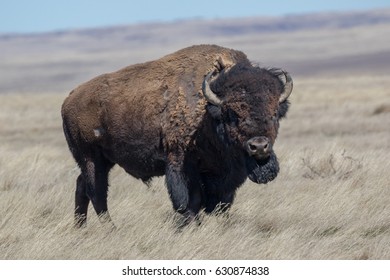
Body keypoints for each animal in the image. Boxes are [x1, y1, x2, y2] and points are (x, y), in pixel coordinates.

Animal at [61, 44, 292, 228]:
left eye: (274, 113)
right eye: (232, 113)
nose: (259, 146)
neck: (207, 110)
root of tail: (69, 99)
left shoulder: (224, 175)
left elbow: (220, 203)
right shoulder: (180, 163)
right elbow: (186, 202)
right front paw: (187, 226)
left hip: (103, 160)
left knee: (82, 186)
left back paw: (81, 228)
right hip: (91, 158)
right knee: (96, 192)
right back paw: (111, 229)